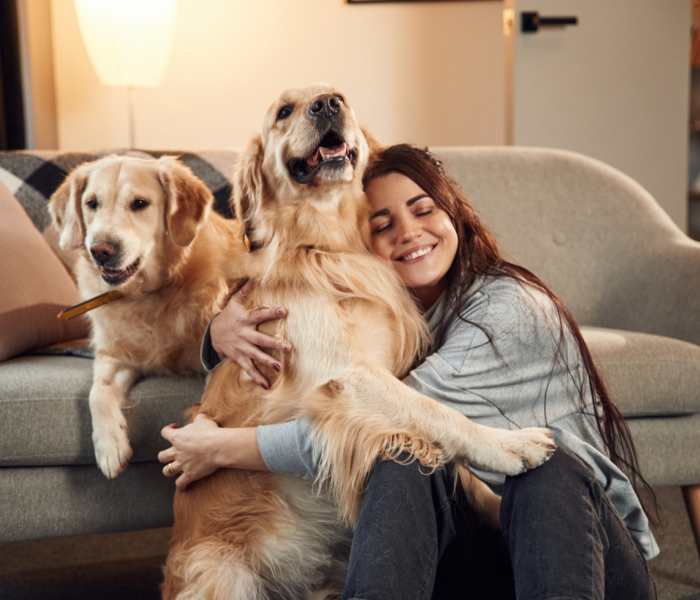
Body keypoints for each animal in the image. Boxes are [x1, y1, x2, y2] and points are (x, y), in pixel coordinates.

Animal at [50, 156, 245, 478]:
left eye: (140, 203)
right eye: (92, 203)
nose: (100, 250)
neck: (148, 294)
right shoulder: (115, 355)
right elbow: (97, 392)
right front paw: (110, 445)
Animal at [161, 85, 556, 600]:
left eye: (340, 97)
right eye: (283, 111)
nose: (327, 104)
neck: (331, 247)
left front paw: (493, 500)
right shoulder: (346, 377)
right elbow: (437, 412)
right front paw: (511, 445)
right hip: (225, 577)